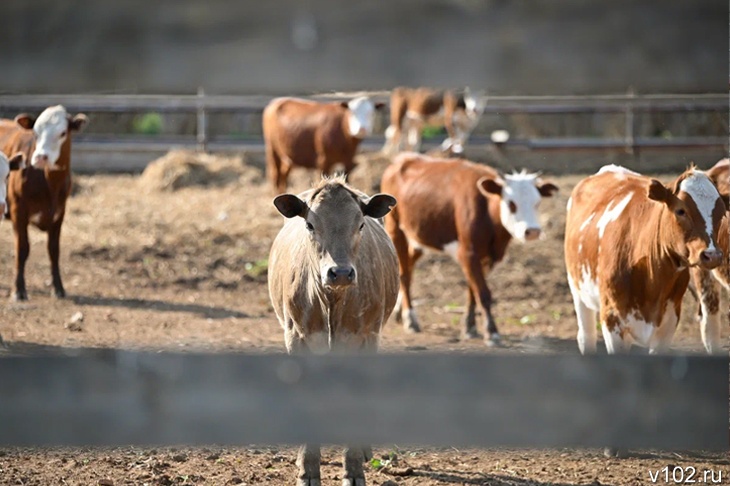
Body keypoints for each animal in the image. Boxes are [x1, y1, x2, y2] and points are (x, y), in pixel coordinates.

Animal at [0, 105, 88, 300]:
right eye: (35, 132)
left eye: (63, 133)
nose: (40, 157)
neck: (48, 181)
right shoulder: (18, 211)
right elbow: (22, 249)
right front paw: (18, 290)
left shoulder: (59, 214)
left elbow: (53, 251)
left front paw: (58, 288)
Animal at [266, 175, 396, 486]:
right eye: (310, 225)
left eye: (360, 224)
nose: (340, 273)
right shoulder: (297, 335)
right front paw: (308, 469)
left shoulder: (366, 336)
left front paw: (354, 470)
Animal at [382, 152, 556, 346]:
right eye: (511, 203)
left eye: (537, 203)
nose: (532, 231)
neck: (487, 211)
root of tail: (402, 159)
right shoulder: (468, 253)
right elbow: (483, 293)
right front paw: (491, 331)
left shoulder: (487, 258)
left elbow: (472, 291)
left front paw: (470, 326)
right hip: (395, 230)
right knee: (404, 274)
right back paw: (410, 319)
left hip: (419, 237)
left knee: (408, 266)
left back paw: (399, 311)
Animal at [564, 165, 724, 356]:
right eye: (681, 210)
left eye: (722, 214)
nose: (712, 255)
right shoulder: (612, 319)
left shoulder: (669, 321)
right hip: (578, 290)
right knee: (586, 336)